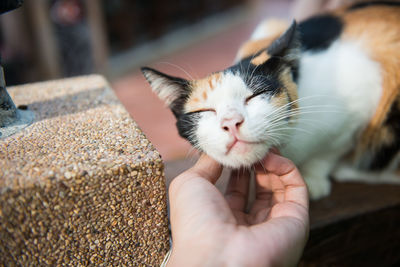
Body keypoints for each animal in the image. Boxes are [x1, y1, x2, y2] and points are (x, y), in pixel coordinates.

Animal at [141, 1, 400, 200]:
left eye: (254, 95)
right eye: (205, 110)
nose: (231, 122)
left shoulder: (359, 101)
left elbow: (327, 153)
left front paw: (314, 180)